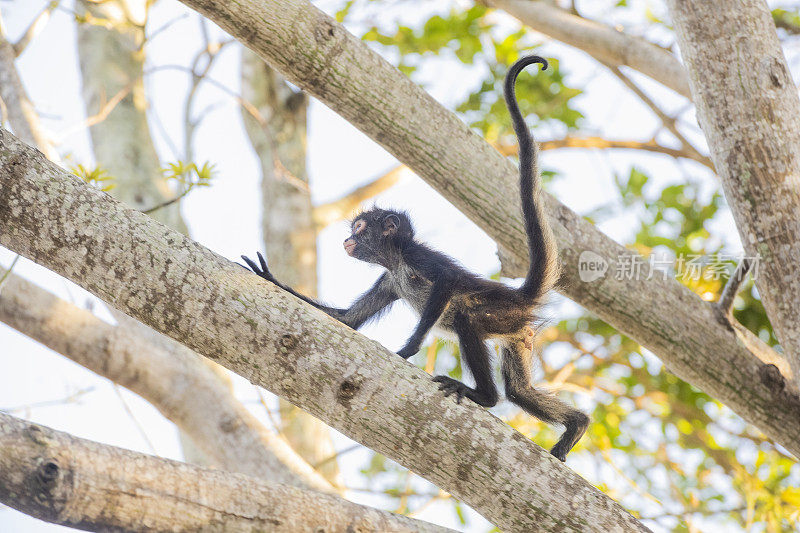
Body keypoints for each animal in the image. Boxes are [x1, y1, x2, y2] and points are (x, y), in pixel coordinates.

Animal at [247, 56, 592, 460]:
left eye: (359, 226)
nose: (347, 239)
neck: (396, 261)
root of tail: (518, 295)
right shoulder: (388, 278)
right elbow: (347, 320)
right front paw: (269, 278)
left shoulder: (416, 255)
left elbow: (447, 281)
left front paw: (409, 348)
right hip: (518, 329)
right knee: (519, 391)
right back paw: (575, 424)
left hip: (499, 313)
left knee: (468, 321)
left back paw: (484, 397)